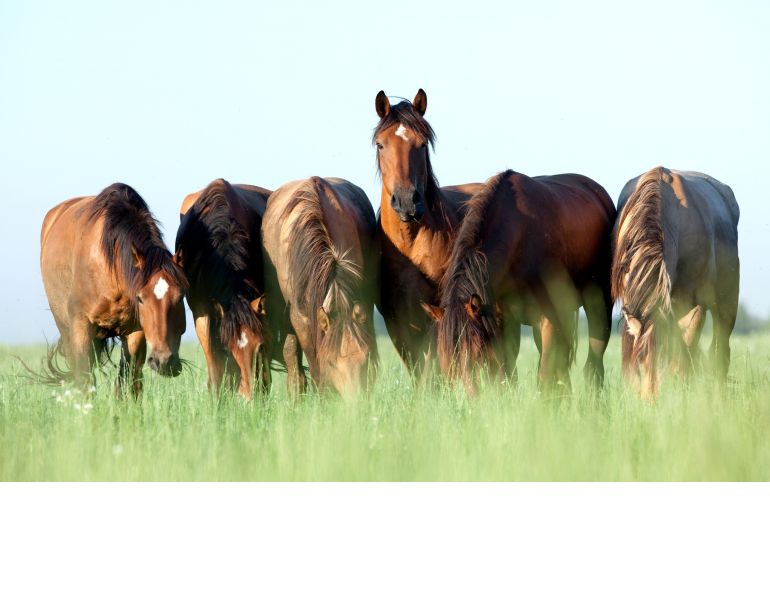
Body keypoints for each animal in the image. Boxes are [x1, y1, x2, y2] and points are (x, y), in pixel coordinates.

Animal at [40, 183, 187, 396]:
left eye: (181, 296)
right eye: (141, 298)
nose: (164, 361)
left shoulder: (135, 331)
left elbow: (128, 380)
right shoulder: (81, 325)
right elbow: (84, 379)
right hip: (66, 328)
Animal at [423, 169, 616, 394]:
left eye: (477, 353)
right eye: (446, 362)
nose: (469, 400)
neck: (519, 239)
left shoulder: (548, 319)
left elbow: (544, 375)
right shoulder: (503, 321)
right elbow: (508, 373)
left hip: (599, 305)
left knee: (593, 363)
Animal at [612, 166, 740, 400]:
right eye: (641, 362)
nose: (652, 402)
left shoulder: (696, 305)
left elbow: (685, 354)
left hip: (727, 303)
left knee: (719, 353)